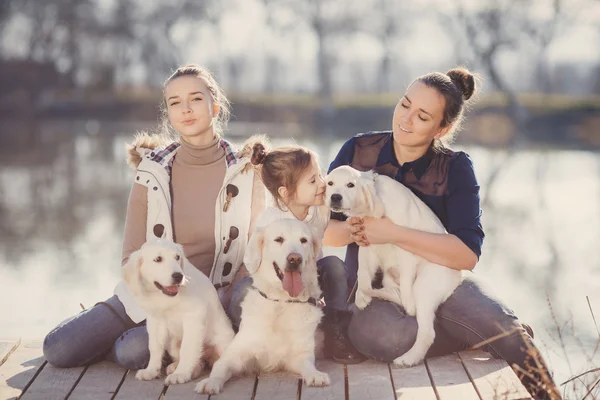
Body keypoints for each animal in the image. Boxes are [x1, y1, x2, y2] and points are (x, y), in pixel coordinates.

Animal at [122, 239, 234, 386]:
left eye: (177, 257)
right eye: (158, 259)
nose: (179, 276)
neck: (163, 297)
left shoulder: (194, 317)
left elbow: (187, 348)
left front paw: (181, 374)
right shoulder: (155, 321)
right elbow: (155, 347)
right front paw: (151, 371)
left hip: (222, 343)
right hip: (172, 344)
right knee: (198, 361)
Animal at [196, 220, 328, 396]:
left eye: (303, 240)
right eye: (279, 239)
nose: (295, 259)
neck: (281, 302)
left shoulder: (300, 354)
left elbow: (308, 365)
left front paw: (316, 375)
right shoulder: (236, 353)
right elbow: (220, 367)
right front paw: (210, 381)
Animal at [324, 166, 460, 368]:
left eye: (350, 185)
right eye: (330, 183)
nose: (335, 197)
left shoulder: (404, 242)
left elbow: (406, 282)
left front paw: (409, 306)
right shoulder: (365, 242)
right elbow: (363, 273)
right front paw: (361, 296)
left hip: (424, 287)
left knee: (427, 332)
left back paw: (408, 358)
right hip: (390, 277)